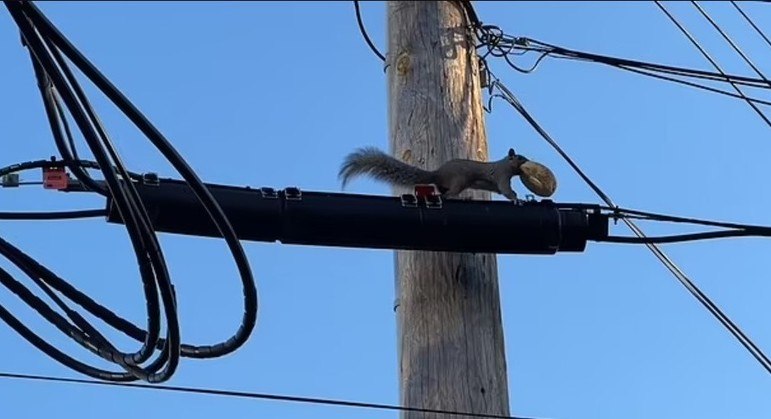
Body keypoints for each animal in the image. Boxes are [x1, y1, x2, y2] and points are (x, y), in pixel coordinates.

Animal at [340, 147, 532, 201]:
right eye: (519, 157)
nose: (528, 160)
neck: (505, 163)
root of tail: (438, 174)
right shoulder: (502, 175)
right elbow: (505, 189)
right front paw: (516, 199)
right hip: (459, 181)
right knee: (448, 195)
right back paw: (462, 197)